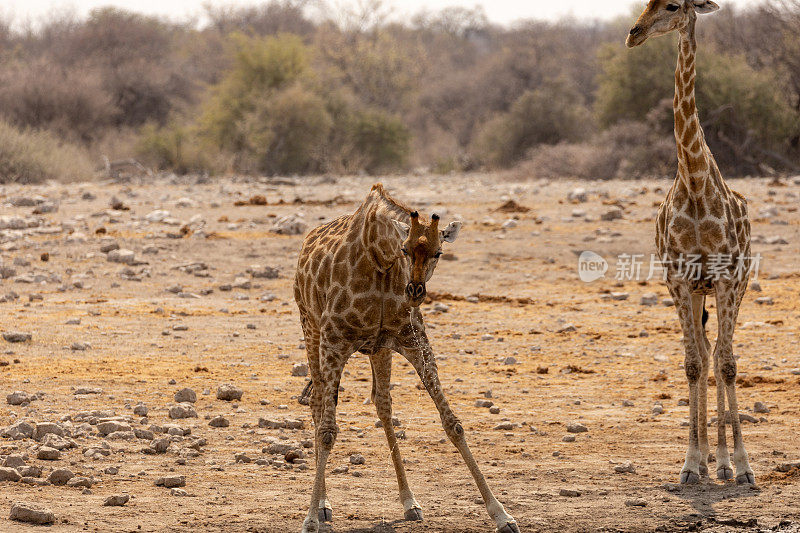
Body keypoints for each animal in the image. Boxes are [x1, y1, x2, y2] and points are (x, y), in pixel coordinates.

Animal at [294, 184, 520, 532]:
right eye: (404, 249)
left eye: (438, 252)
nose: (415, 290)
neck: (380, 260)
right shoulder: (334, 340)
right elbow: (328, 431)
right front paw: (309, 519)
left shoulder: (412, 339)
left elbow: (453, 423)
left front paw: (501, 514)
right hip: (311, 328)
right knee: (319, 405)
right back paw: (322, 506)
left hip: (378, 349)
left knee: (382, 404)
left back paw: (409, 502)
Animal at [628, 0, 752, 484]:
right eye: (644, 2)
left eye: (674, 5)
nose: (634, 33)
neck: (696, 183)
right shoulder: (679, 281)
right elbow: (693, 364)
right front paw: (689, 463)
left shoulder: (727, 279)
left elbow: (727, 364)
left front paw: (742, 464)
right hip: (698, 291)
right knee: (703, 352)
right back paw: (706, 462)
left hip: (732, 287)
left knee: (720, 354)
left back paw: (726, 463)